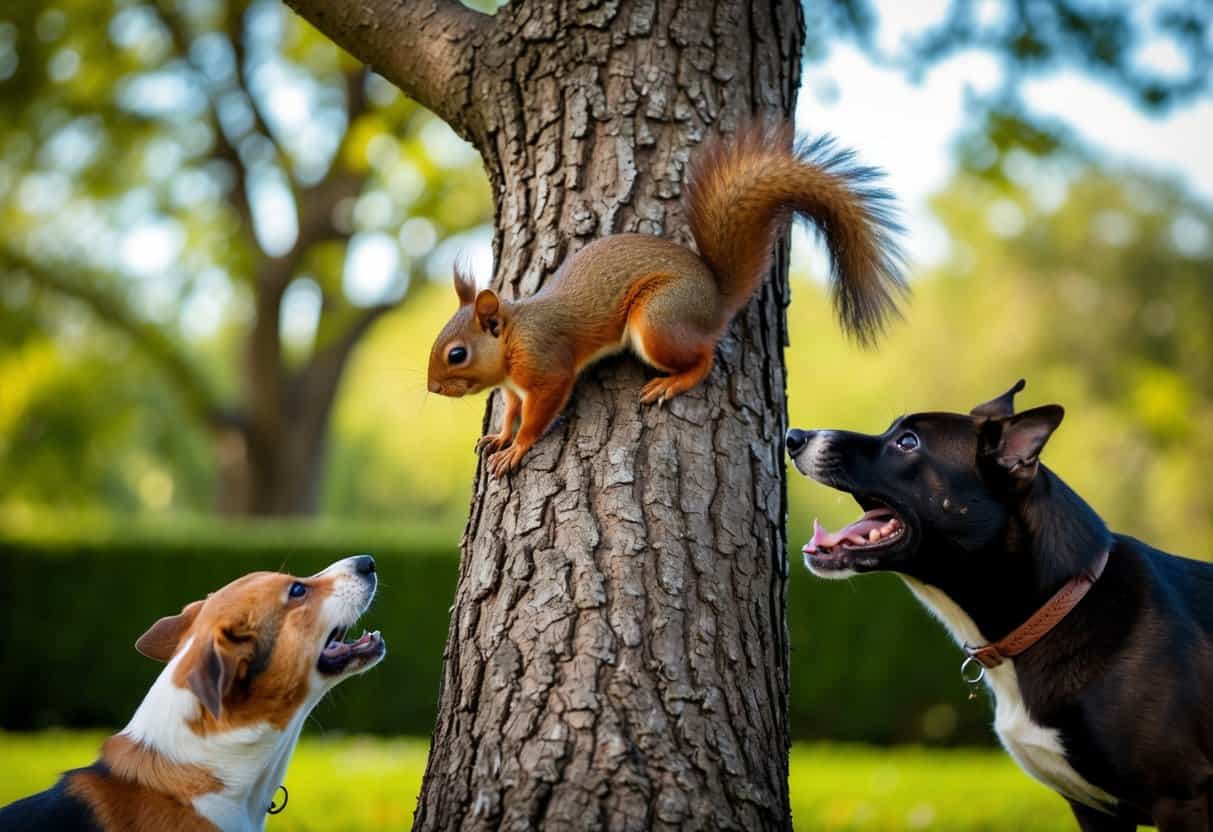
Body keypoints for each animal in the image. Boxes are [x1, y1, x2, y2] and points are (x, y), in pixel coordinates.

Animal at [427, 121, 906, 476]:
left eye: (456, 354)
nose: (432, 388)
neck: (513, 336)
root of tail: (715, 300)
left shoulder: (547, 367)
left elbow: (538, 413)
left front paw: (517, 448)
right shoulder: (513, 388)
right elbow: (510, 412)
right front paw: (500, 436)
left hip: (657, 321)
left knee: (705, 358)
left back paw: (671, 383)